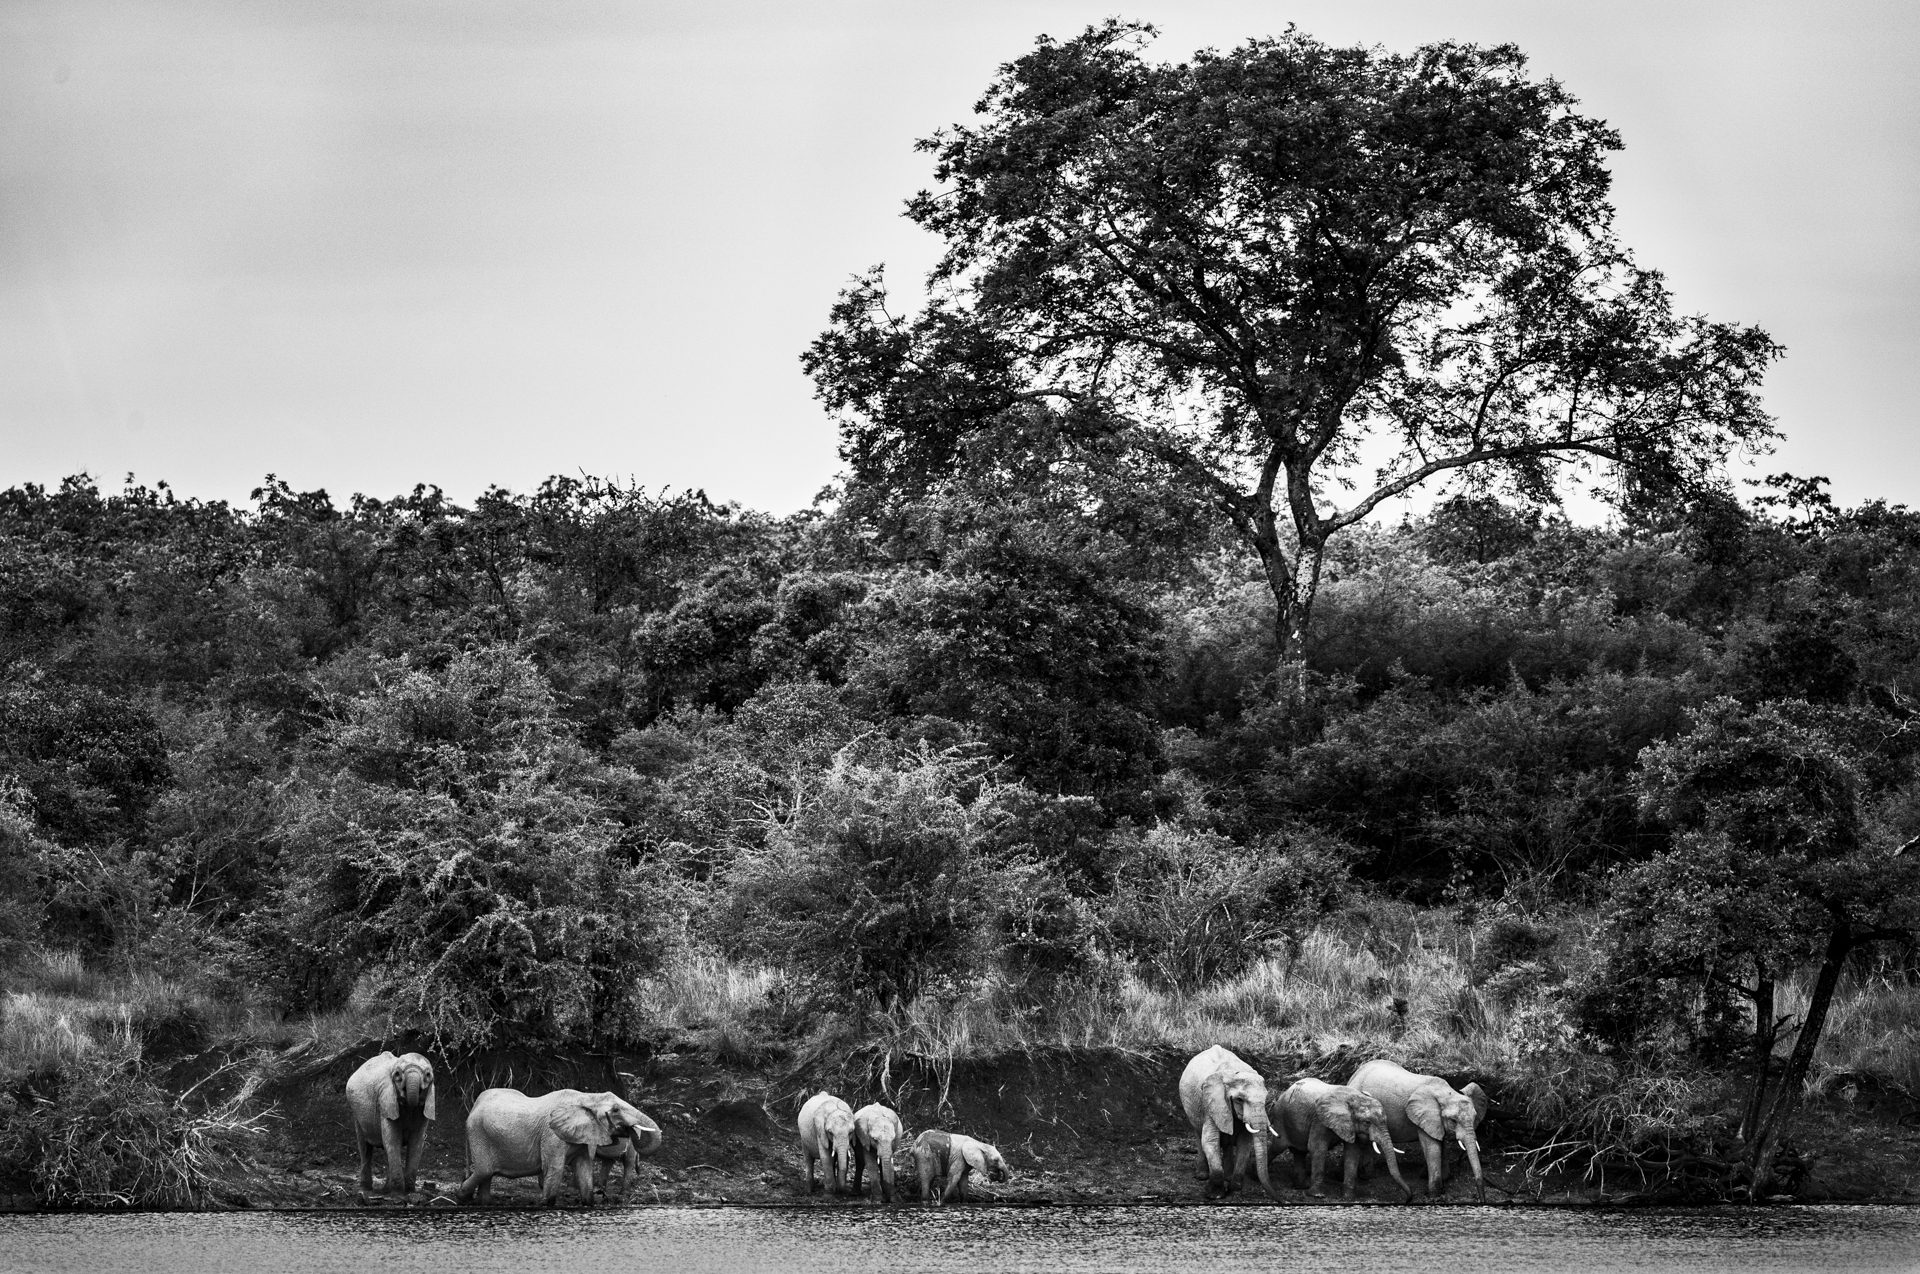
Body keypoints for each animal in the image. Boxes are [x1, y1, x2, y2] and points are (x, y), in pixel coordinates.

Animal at [455, 1089, 652, 1212]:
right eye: (616, 1110)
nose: (628, 1131)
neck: (586, 1097)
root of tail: (473, 1105)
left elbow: (584, 1169)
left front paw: (589, 1203)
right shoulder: (552, 1135)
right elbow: (555, 1168)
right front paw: (547, 1204)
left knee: (486, 1174)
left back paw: (482, 1203)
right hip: (478, 1133)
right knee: (484, 1170)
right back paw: (461, 1199)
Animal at [1175, 1043, 1282, 1197]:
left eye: (1266, 1098)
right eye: (1239, 1099)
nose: (1283, 1200)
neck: (1232, 1075)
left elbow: (1245, 1144)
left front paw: (1235, 1189)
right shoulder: (1211, 1104)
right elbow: (1210, 1141)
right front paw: (1214, 1194)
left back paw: (1228, 1177)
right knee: (1198, 1134)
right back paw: (1201, 1176)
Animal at [1274, 1074, 1413, 1204]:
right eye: (1367, 1122)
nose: (1406, 1200)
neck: (1353, 1097)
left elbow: (1352, 1154)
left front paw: (1348, 1197)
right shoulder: (1319, 1119)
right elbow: (1318, 1148)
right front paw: (1317, 1195)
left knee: (1299, 1153)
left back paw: (1302, 1186)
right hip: (1280, 1116)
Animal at [1351, 1051, 1482, 1204]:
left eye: (1474, 1118)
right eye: (1453, 1121)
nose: (1481, 1198)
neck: (1445, 1092)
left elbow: (1441, 1143)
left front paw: (1429, 1176)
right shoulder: (1422, 1116)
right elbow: (1432, 1147)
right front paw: (1434, 1195)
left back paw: (1367, 1175)